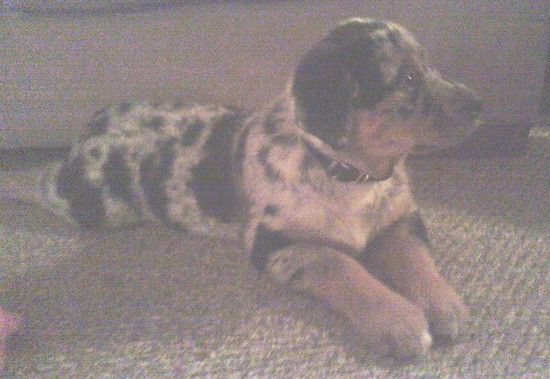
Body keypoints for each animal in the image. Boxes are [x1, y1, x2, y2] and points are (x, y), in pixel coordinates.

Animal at [16, 17, 488, 360]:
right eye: (407, 78)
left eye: (430, 67)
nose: (481, 104)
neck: (347, 173)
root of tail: (91, 124)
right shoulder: (277, 243)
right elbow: (341, 265)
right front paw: (399, 321)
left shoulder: (401, 219)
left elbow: (415, 259)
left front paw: (444, 305)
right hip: (90, 201)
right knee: (41, 180)